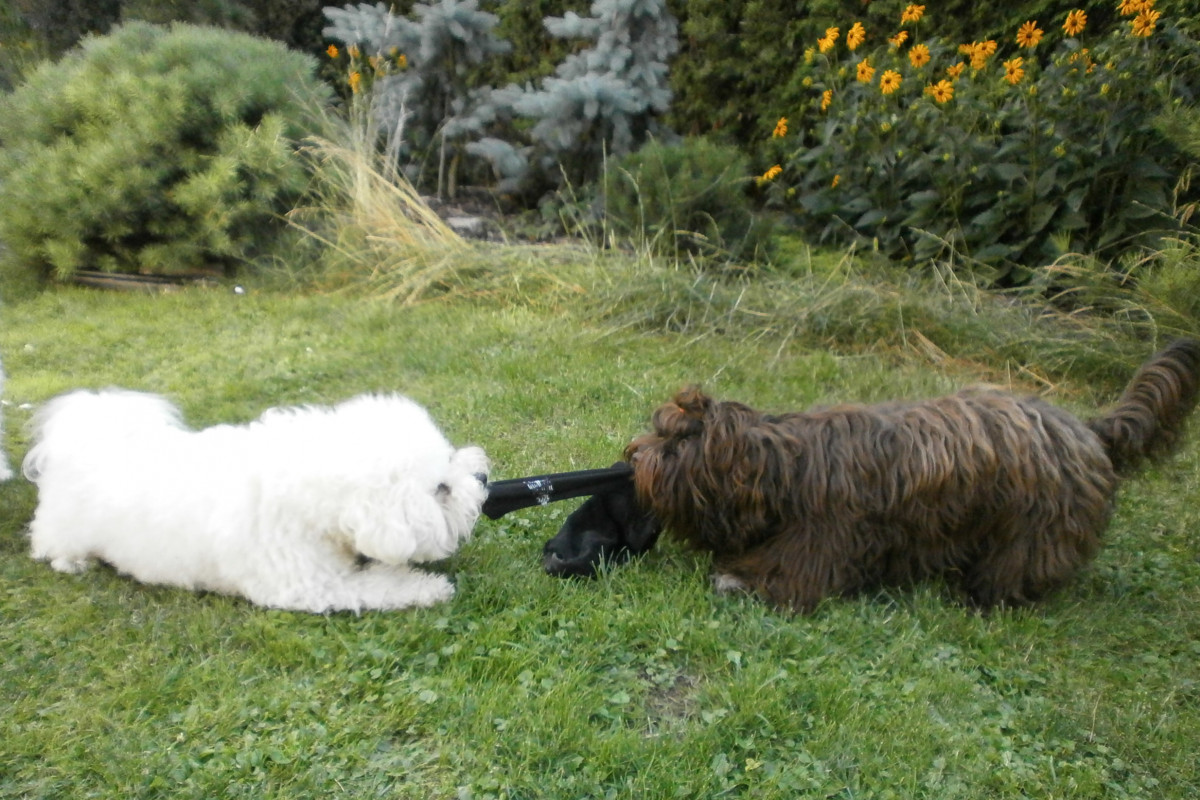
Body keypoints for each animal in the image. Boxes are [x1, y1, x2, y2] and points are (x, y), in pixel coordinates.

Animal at [21, 388, 487, 614]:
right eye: (441, 489)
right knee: (47, 543)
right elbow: (380, 585)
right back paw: (71, 562)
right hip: (64, 527)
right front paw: (429, 588)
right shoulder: (308, 584)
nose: (482, 478)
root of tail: (88, 433)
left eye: (450, 458)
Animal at [624, 340, 1200, 614]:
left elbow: (788, 577)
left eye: (673, 445)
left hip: (1034, 525)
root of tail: (1085, 428)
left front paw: (736, 578)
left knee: (1019, 565)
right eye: (659, 430)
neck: (788, 467)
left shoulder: (825, 538)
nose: (632, 456)